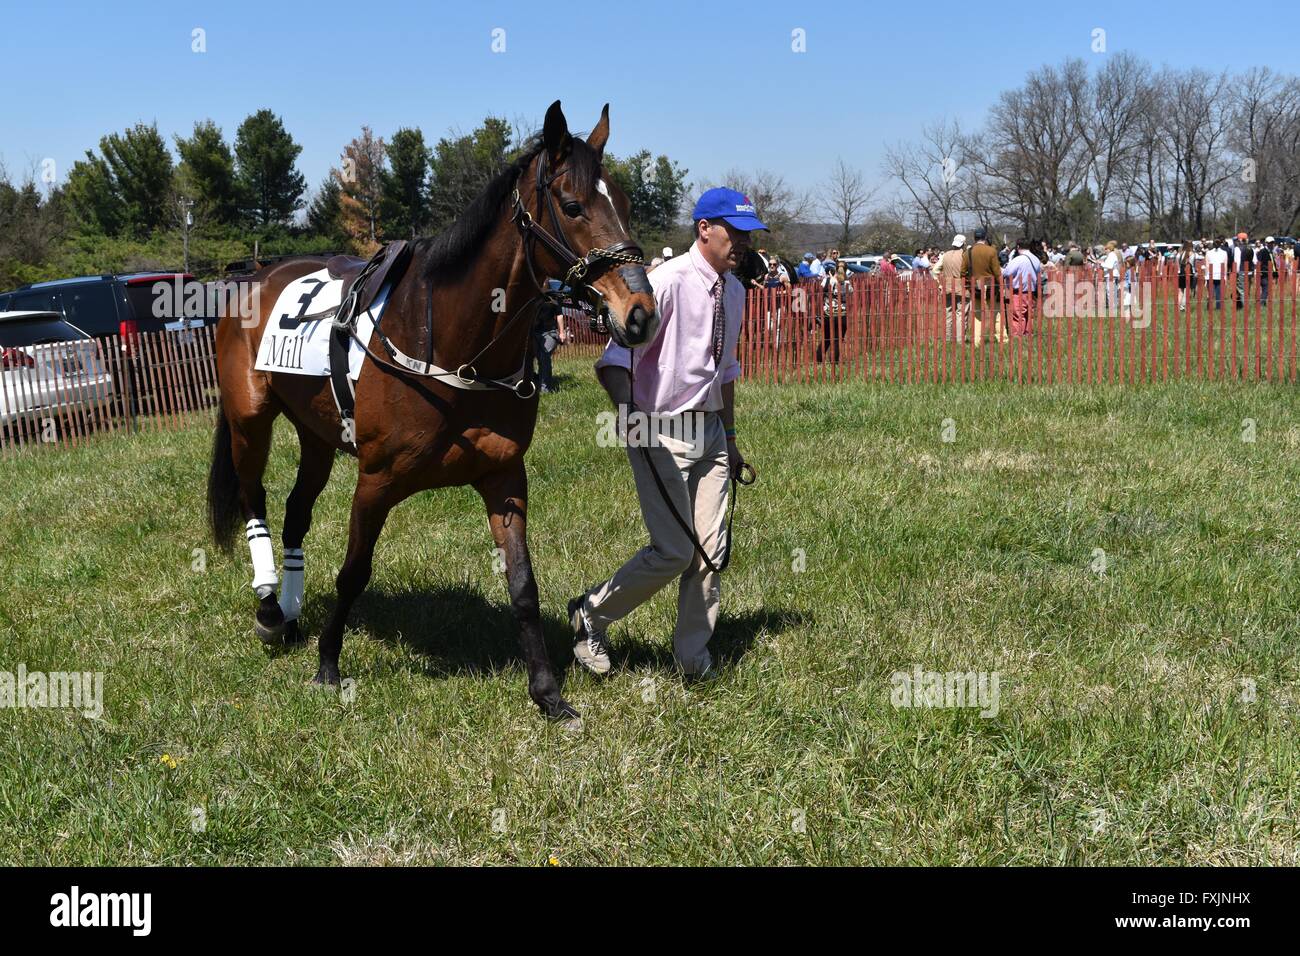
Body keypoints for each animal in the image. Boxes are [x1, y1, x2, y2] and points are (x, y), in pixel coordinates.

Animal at [206, 102, 659, 720]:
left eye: (628, 204)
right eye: (572, 206)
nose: (640, 312)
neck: (451, 346)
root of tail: (254, 276)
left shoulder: (503, 475)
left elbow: (523, 585)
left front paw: (547, 693)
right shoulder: (376, 480)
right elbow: (353, 573)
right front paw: (328, 666)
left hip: (317, 433)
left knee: (297, 510)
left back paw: (294, 614)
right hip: (250, 421)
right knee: (257, 500)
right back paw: (272, 610)